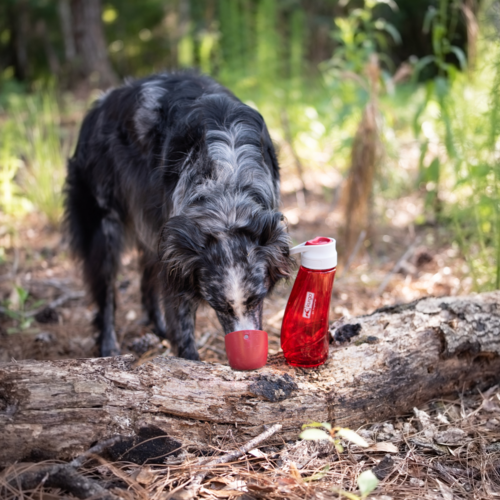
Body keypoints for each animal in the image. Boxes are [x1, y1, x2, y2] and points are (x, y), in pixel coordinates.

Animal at [64, 72, 294, 358]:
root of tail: (99, 104)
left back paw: (157, 327)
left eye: (257, 299)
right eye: (219, 306)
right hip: (103, 223)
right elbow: (182, 322)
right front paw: (189, 362)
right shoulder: (178, 252)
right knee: (106, 289)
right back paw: (108, 346)